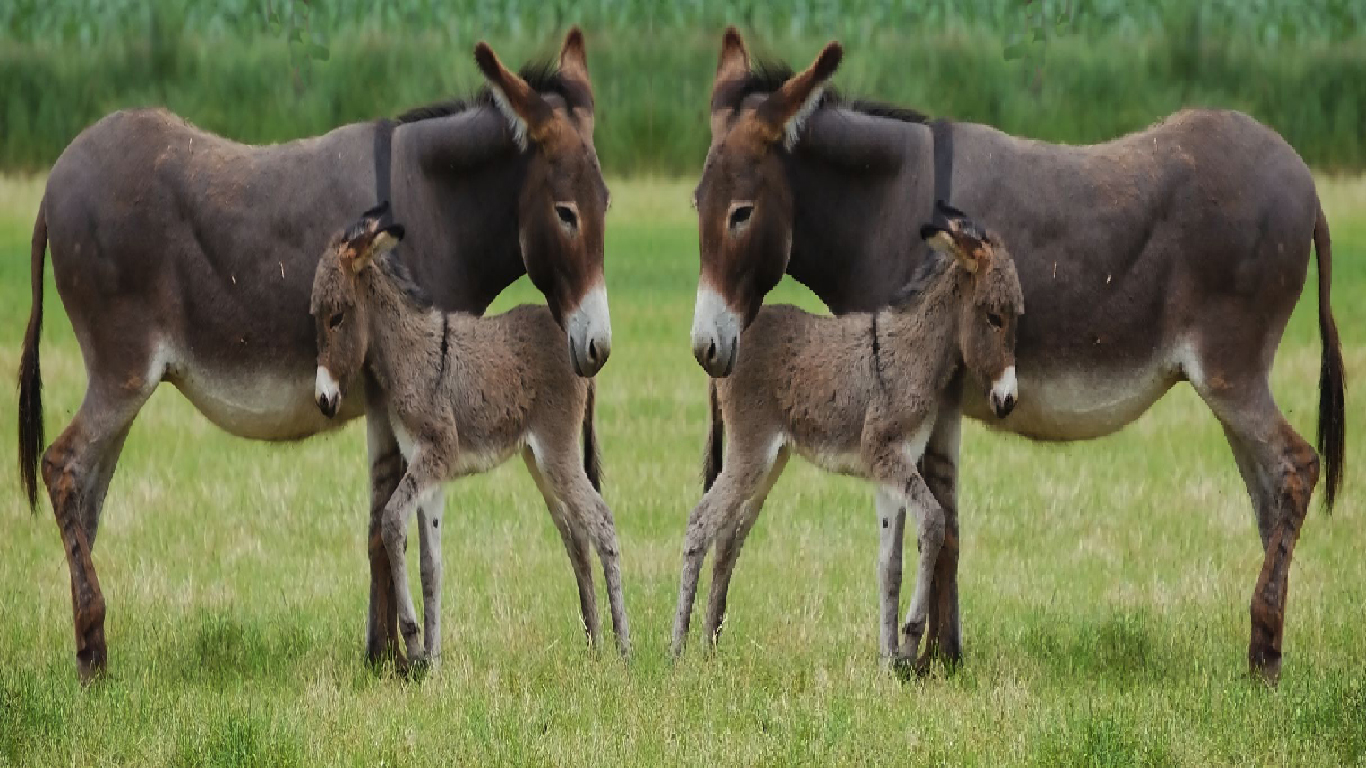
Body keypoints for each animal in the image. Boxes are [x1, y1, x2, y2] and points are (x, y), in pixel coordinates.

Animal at [312, 206, 625, 661]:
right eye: (315, 317)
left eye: (336, 316)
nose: (323, 399)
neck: (409, 355)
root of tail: (575, 349)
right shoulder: (427, 468)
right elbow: (431, 566)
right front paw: (432, 660)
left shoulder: (434, 456)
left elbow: (390, 521)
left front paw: (412, 637)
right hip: (539, 462)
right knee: (576, 538)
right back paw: (594, 645)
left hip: (558, 452)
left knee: (601, 522)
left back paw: (624, 648)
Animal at [674, 203, 1027, 664]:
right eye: (993, 317)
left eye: (1015, 318)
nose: (1008, 400)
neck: (913, 354)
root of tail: (731, 347)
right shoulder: (885, 455)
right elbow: (934, 521)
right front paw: (910, 636)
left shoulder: (894, 469)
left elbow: (889, 567)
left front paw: (889, 659)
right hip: (749, 455)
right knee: (700, 524)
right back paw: (676, 649)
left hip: (770, 461)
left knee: (728, 538)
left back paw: (709, 645)